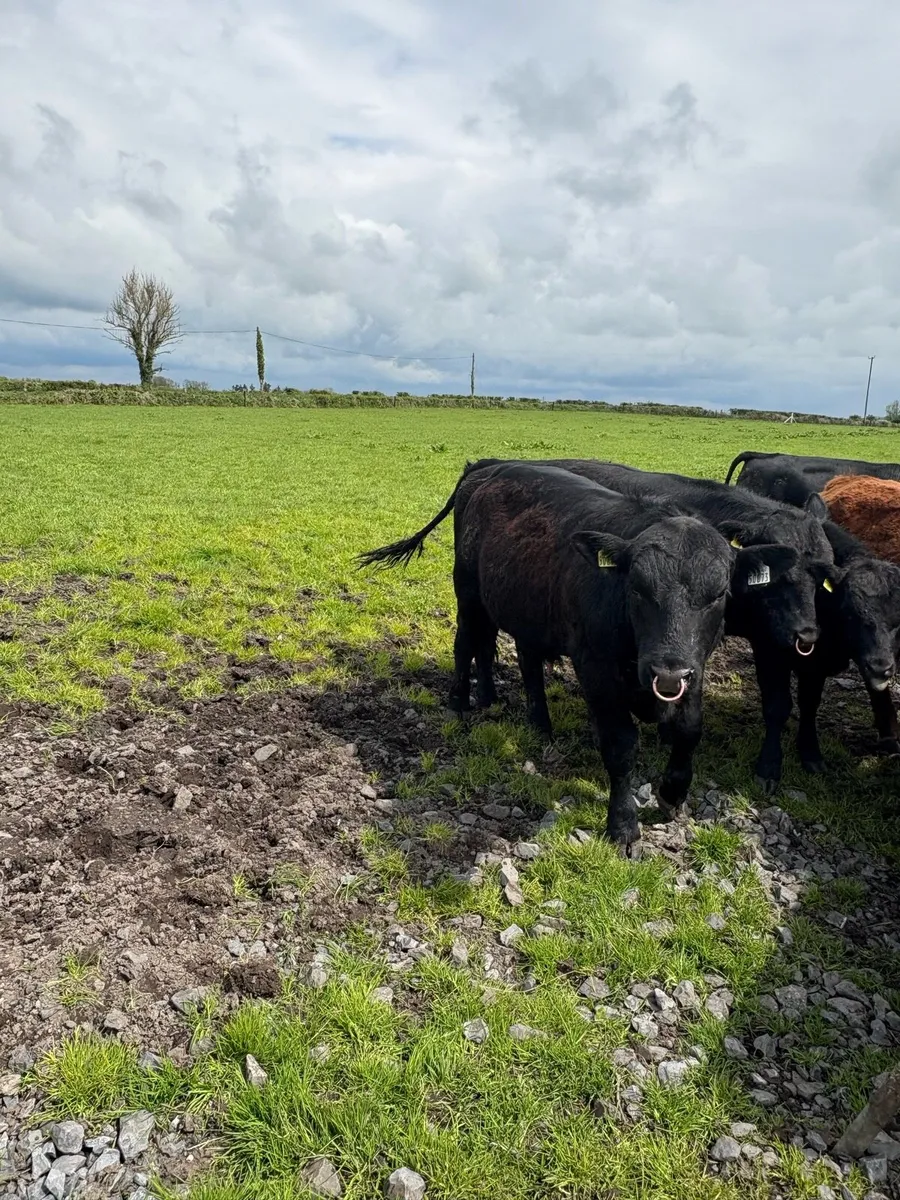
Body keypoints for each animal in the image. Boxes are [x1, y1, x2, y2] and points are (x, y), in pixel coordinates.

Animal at [360, 461, 802, 853]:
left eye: (719, 593)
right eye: (637, 587)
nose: (667, 669)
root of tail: (486, 469)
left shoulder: (694, 667)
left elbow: (689, 729)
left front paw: (673, 793)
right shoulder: (596, 668)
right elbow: (621, 745)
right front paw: (623, 827)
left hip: (520, 607)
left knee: (515, 658)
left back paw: (523, 715)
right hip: (467, 591)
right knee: (466, 642)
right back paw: (459, 703)